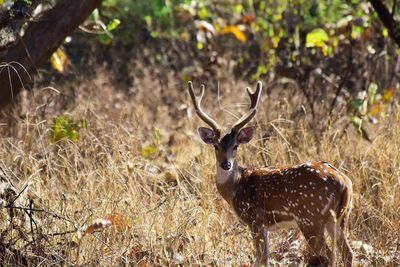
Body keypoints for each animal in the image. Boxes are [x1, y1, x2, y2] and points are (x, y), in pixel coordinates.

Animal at [188, 81, 354, 267]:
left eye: (236, 146)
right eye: (216, 146)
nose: (226, 164)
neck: (235, 188)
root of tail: (344, 183)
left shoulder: (256, 220)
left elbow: (261, 259)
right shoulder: (264, 224)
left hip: (310, 217)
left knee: (327, 256)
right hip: (340, 217)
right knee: (347, 253)